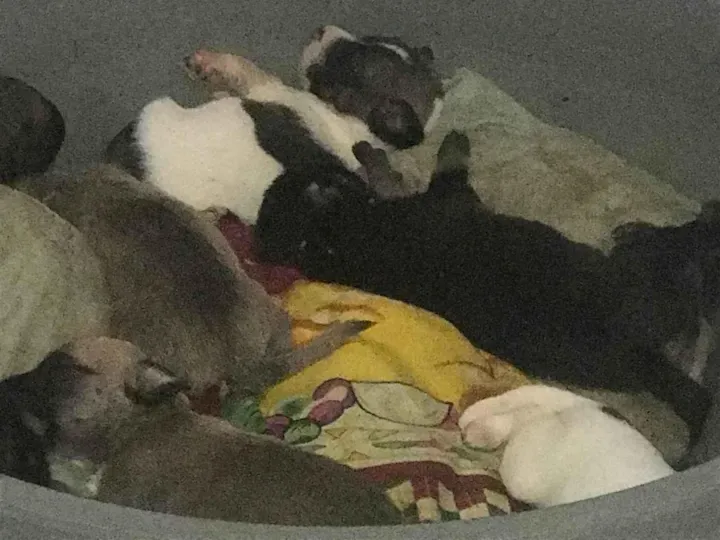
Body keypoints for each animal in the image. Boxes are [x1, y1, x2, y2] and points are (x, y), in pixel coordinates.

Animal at [103, 25, 444, 224]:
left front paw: (211, 66)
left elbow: (246, 69)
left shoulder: (268, 89)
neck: (354, 127)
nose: (320, 29)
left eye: (352, 61)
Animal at [252, 129, 712, 442]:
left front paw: (372, 157)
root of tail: (637, 352)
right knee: (686, 258)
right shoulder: (449, 195)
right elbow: (444, 167)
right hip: (648, 273)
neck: (336, 232)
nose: (340, 160)